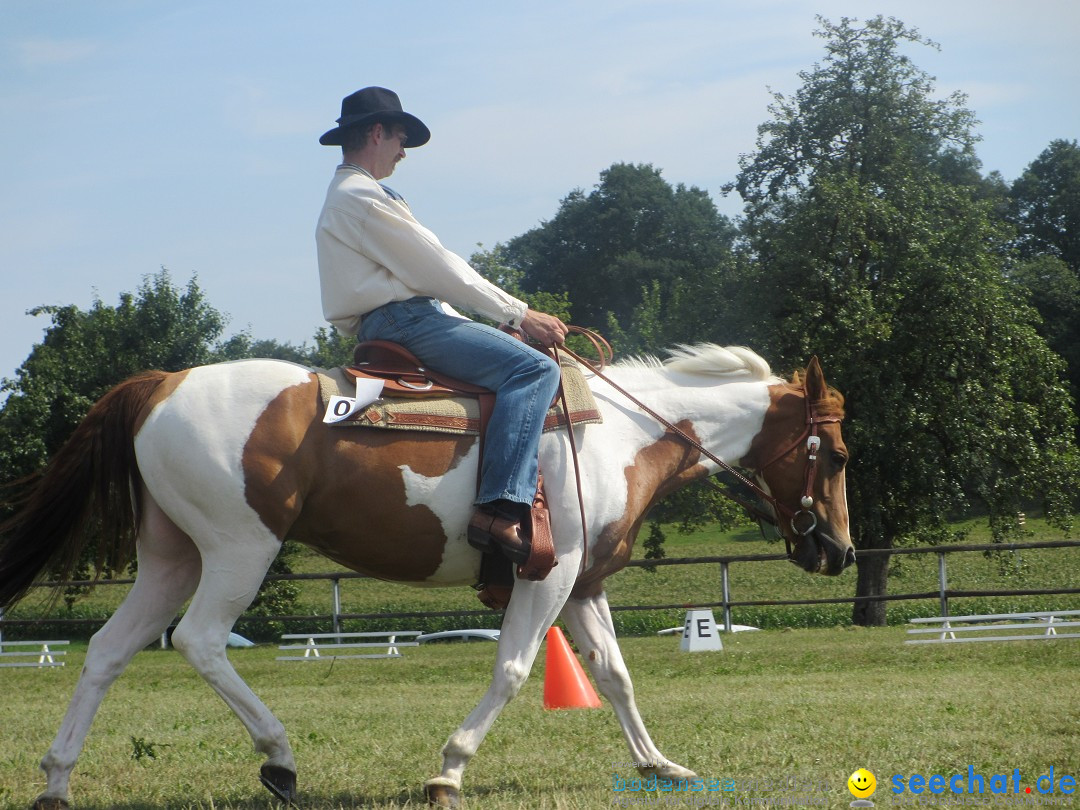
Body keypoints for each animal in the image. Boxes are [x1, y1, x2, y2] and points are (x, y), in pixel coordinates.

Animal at [0, 343, 851, 810]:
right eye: (837, 455)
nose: (839, 551)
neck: (620, 434)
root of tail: (165, 383)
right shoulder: (548, 579)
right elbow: (513, 669)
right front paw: (449, 769)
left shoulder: (583, 584)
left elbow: (614, 676)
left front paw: (659, 764)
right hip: (239, 549)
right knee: (201, 642)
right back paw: (279, 757)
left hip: (172, 557)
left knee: (108, 652)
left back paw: (56, 779)